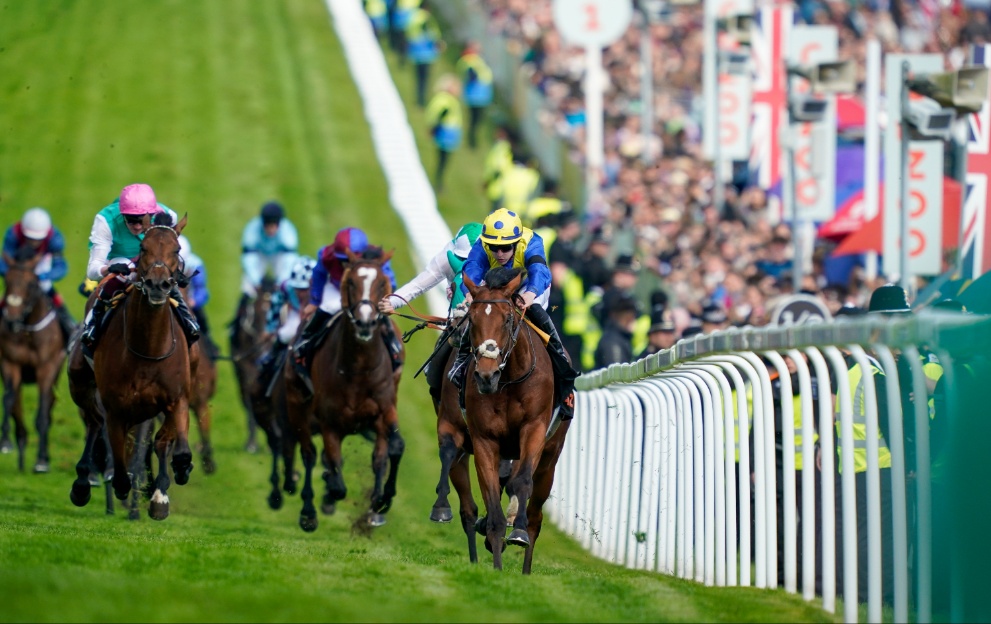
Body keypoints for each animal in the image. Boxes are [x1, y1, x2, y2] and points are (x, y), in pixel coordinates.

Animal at [0, 251, 67, 470]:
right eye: (7, 280)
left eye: (31, 284)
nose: (12, 319)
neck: (28, 331)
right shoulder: (10, 364)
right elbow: (9, 400)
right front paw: (6, 441)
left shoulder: (47, 367)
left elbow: (43, 412)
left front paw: (41, 461)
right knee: (17, 405)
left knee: (49, 405)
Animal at [67, 214, 196, 520]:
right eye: (143, 248)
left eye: (176, 249)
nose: (158, 285)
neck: (148, 348)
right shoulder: (116, 409)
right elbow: (121, 469)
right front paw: (124, 488)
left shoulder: (177, 399)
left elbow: (173, 449)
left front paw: (167, 486)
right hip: (80, 383)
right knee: (94, 422)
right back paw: (82, 483)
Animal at [284, 247, 404, 532]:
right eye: (351, 282)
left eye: (382, 283)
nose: (365, 323)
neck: (359, 368)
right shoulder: (329, 420)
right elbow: (336, 478)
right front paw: (328, 492)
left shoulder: (385, 408)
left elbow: (393, 449)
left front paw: (382, 501)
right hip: (296, 405)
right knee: (309, 454)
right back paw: (309, 512)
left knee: (377, 457)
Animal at [462, 266, 568, 572]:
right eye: (471, 319)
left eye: (507, 318)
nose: (486, 376)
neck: (508, 380)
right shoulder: (484, 439)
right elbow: (492, 495)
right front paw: (496, 560)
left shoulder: (534, 429)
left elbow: (521, 483)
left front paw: (517, 532)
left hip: (550, 458)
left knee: (535, 514)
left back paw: (526, 566)